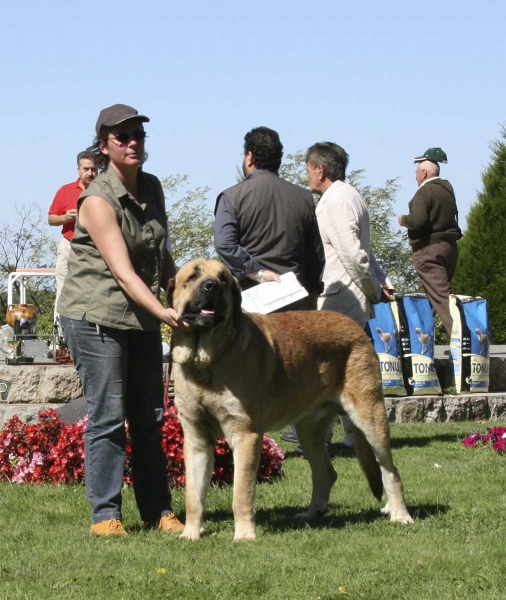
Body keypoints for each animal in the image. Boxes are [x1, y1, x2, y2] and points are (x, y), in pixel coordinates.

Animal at [168, 260, 414, 540]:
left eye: (223, 280)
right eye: (193, 276)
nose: (212, 286)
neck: (206, 359)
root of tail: (355, 326)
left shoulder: (245, 435)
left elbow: (241, 493)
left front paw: (244, 535)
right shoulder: (196, 439)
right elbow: (194, 495)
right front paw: (190, 534)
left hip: (370, 417)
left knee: (389, 470)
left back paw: (399, 514)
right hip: (308, 431)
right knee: (326, 473)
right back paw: (312, 513)